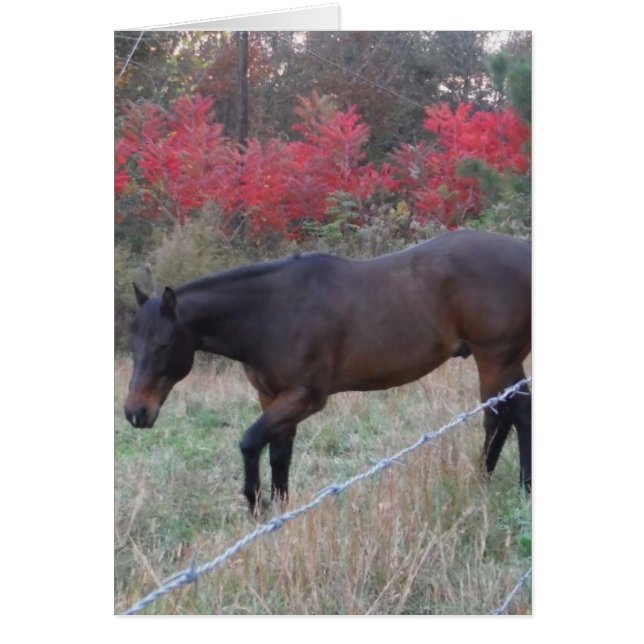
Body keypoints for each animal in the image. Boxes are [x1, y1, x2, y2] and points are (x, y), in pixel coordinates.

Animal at [124, 230, 531, 514]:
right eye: (132, 344)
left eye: (163, 345)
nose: (135, 412)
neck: (272, 313)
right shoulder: (272, 397)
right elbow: (279, 455)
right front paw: (278, 513)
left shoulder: (305, 397)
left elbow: (250, 441)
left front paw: (255, 504)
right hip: (505, 360)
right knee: (517, 413)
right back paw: (516, 486)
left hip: (494, 359)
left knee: (501, 417)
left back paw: (490, 485)